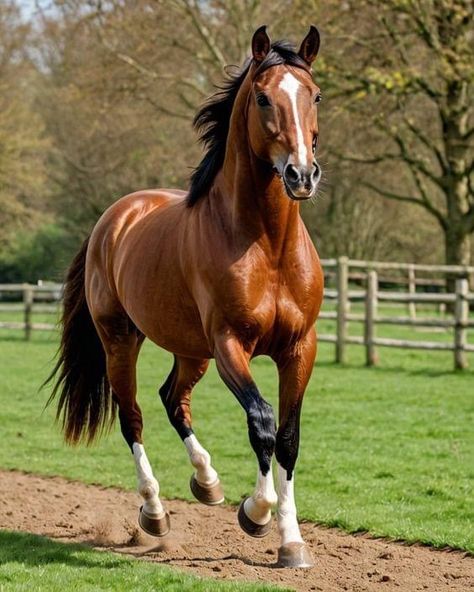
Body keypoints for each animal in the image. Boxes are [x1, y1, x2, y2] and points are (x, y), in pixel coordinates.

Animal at [48, 25, 324, 568]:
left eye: (316, 95)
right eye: (264, 97)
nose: (302, 175)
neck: (267, 246)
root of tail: (113, 219)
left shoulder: (300, 348)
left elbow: (288, 437)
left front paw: (291, 543)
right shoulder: (230, 345)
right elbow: (261, 421)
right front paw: (255, 513)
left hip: (190, 349)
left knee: (173, 399)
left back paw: (207, 483)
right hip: (122, 341)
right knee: (132, 415)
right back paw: (155, 513)